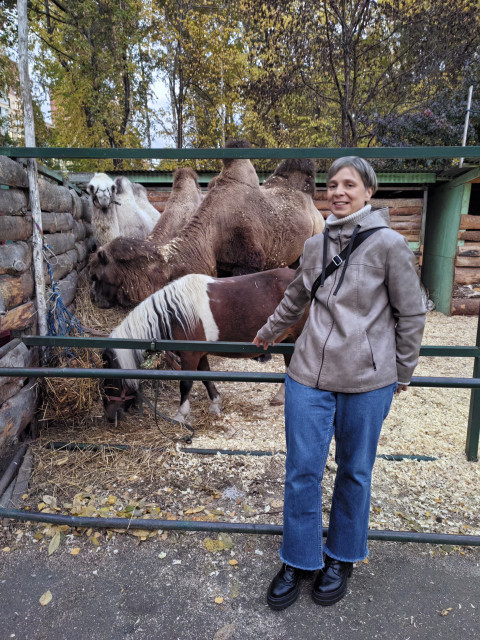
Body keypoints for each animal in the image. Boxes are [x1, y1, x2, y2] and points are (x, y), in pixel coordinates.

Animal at [102, 268, 310, 424]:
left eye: (111, 381)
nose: (110, 417)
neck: (174, 314)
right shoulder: (199, 354)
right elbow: (206, 377)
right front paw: (216, 403)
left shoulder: (190, 355)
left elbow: (186, 384)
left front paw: (181, 415)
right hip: (287, 340)